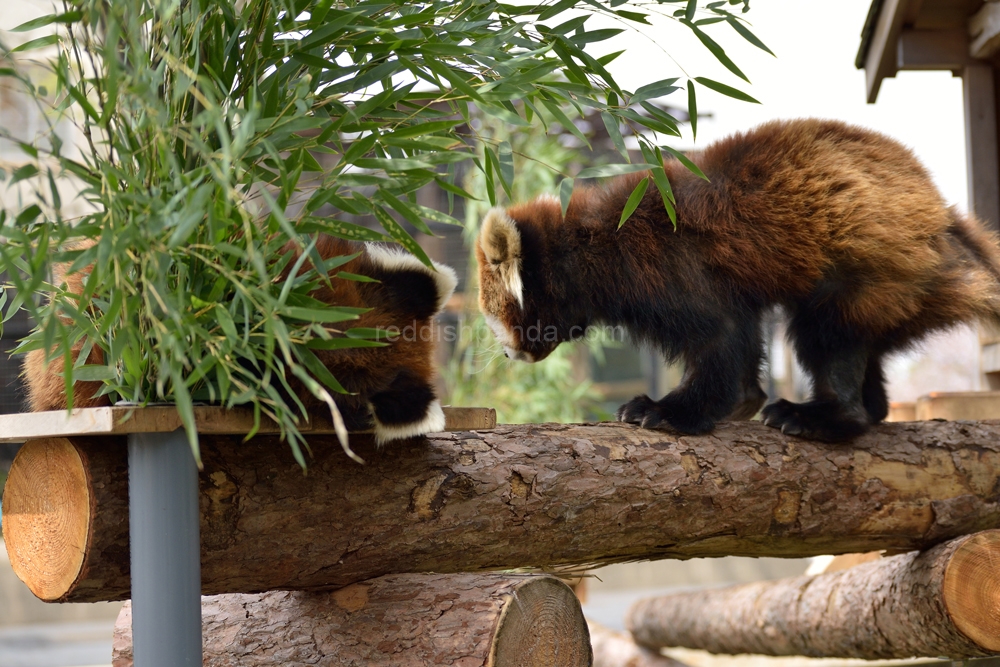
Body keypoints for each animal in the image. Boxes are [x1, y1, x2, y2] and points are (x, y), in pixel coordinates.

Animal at [474, 118, 1000, 444]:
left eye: (497, 322)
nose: (508, 354)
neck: (592, 243)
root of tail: (945, 220)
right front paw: (737, 403)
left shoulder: (672, 264)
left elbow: (721, 337)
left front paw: (668, 411)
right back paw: (866, 406)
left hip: (872, 268)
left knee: (827, 335)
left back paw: (823, 415)